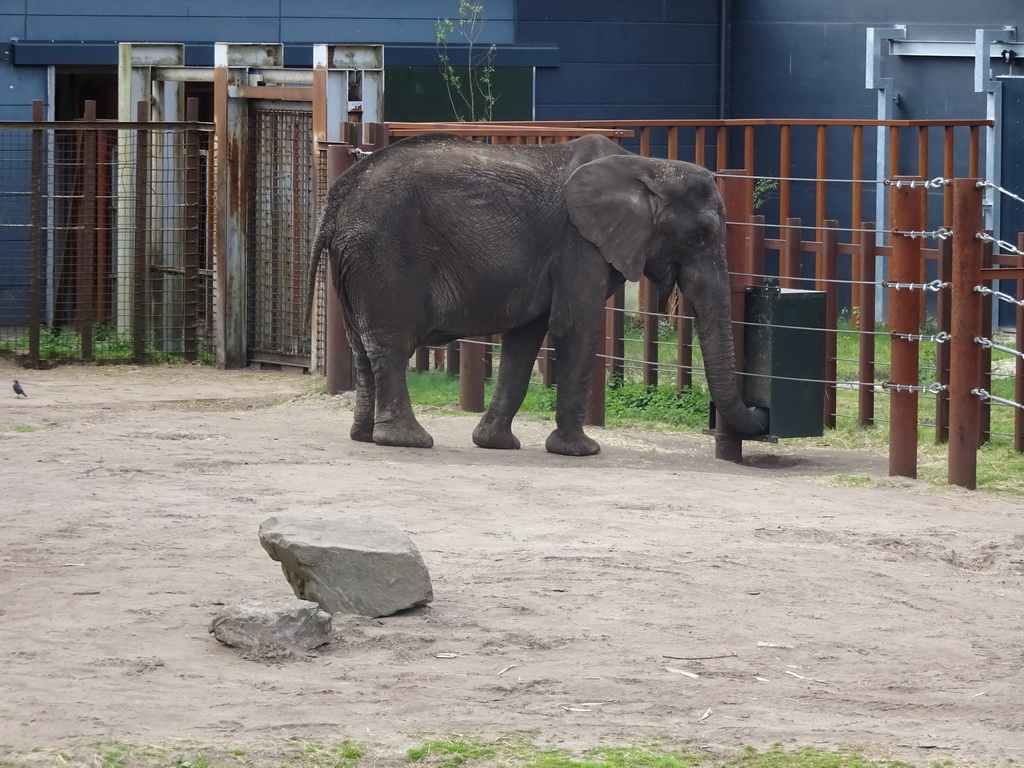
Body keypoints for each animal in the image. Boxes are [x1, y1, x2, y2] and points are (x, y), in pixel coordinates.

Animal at [307, 132, 765, 456]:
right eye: (699, 235)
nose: (763, 414)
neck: (648, 168)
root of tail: (335, 202)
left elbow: (525, 338)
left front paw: (495, 444)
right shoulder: (579, 243)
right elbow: (574, 329)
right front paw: (581, 452)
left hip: (355, 263)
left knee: (361, 345)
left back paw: (364, 436)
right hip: (384, 256)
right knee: (391, 344)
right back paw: (407, 440)